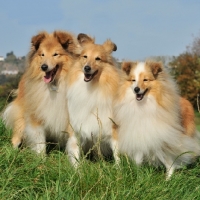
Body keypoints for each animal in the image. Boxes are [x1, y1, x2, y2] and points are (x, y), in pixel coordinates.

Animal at [66, 33, 120, 166]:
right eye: (85, 56)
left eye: (98, 59)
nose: (87, 68)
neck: (91, 87)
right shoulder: (76, 128)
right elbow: (75, 153)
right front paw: (77, 169)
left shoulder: (112, 127)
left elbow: (117, 152)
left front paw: (118, 168)